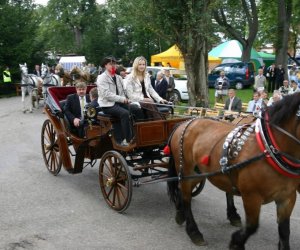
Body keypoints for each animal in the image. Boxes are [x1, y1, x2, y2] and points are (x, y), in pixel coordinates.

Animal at [168, 93, 300, 249]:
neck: (269, 149)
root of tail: (184, 123)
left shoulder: (287, 197)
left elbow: (284, 231)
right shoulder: (251, 196)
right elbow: (251, 226)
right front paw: (236, 242)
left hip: (200, 173)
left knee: (183, 190)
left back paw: (180, 213)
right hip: (186, 170)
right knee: (186, 196)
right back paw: (194, 231)